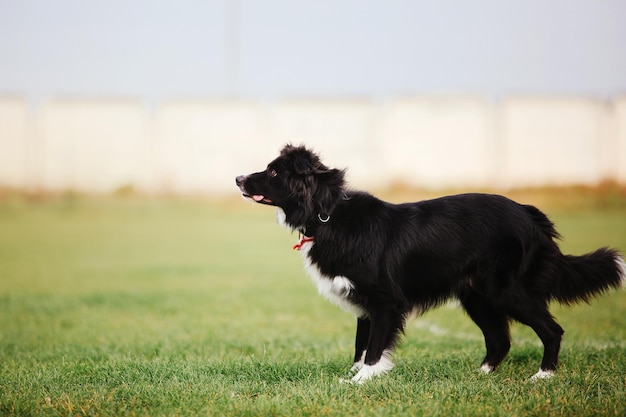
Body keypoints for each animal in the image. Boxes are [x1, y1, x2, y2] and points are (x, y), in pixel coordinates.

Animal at [235, 145, 624, 382]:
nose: (238, 178)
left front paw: (363, 380)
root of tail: (530, 215)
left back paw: (543, 376)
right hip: (476, 296)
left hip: (506, 290)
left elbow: (374, 347)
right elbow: (360, 345)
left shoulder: (385, 301)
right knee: (499, 340)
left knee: (551, 330)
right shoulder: (364, 303)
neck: (326, 214)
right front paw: (353, 377)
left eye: (273, 172)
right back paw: (480, 375)